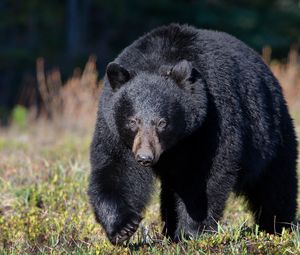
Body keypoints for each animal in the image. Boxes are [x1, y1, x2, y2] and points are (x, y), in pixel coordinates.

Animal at [88, 23, 298, 245]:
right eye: (133, 121)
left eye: (162, 122)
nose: (145, 157)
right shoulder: (113, 127)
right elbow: (116, 168)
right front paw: (123, 227)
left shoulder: (211, 120)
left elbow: (205, 176)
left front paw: (191, 231)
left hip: (272, 134)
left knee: (276, 184)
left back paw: (279, 227)